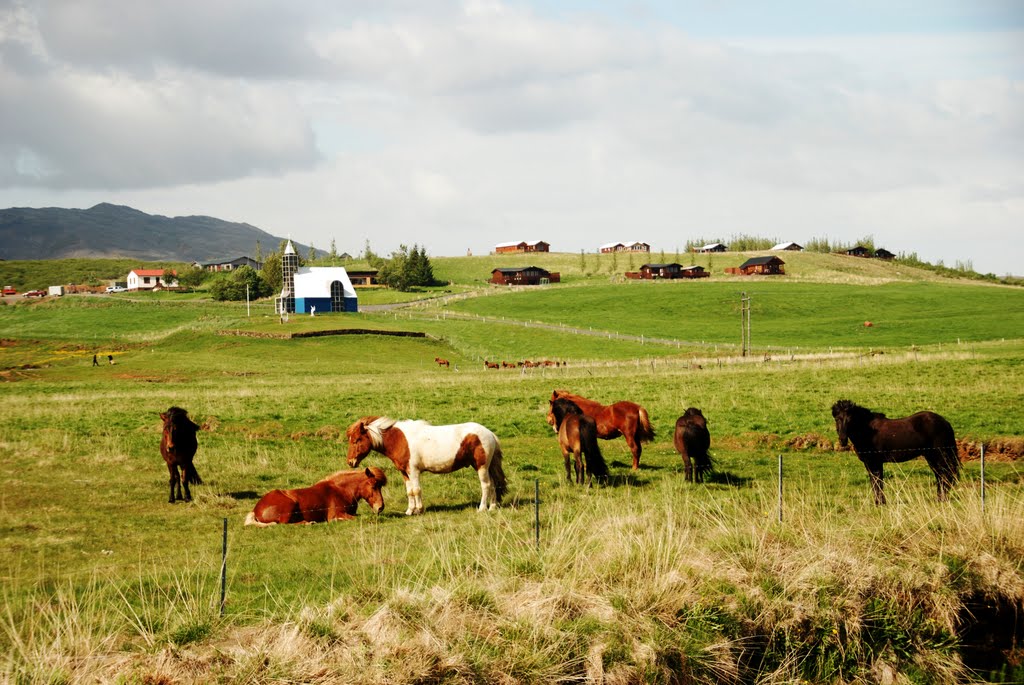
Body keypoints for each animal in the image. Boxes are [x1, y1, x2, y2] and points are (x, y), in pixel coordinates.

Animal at [243, 466, 387, 528]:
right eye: (374, 485)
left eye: (380, 486)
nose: (380, 507)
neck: (341, 490)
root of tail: (256, 509)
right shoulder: (336, 514)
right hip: (289, 505)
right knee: (284, 523)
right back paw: (308, 523)